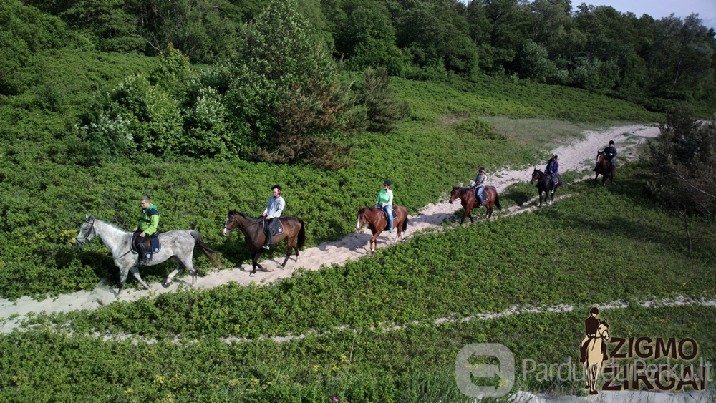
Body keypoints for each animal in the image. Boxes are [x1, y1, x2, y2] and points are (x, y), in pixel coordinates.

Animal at [76, 216, 220, 296]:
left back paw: (192, 286)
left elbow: (121, 282)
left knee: (193, 271)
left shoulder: (124, 267)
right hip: (176, 257)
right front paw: (146, 287)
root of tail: (188, 232)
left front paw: (117, 297)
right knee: (180, 268)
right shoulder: (132, 267)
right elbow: (138, 277)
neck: (119, 242)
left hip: (185, 257)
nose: (77, 242)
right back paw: (168, 280)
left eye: (85, 228)